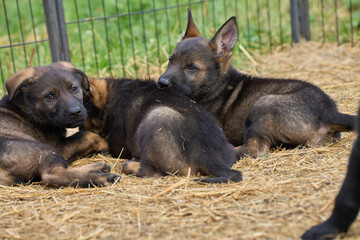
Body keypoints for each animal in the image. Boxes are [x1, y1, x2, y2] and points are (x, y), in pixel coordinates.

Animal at [158, 9, 358, 159]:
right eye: (170, 60)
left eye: (191, 67)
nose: (161, 83)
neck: (216, 88)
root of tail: (330, 112)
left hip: (263, 105)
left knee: (256, 149)